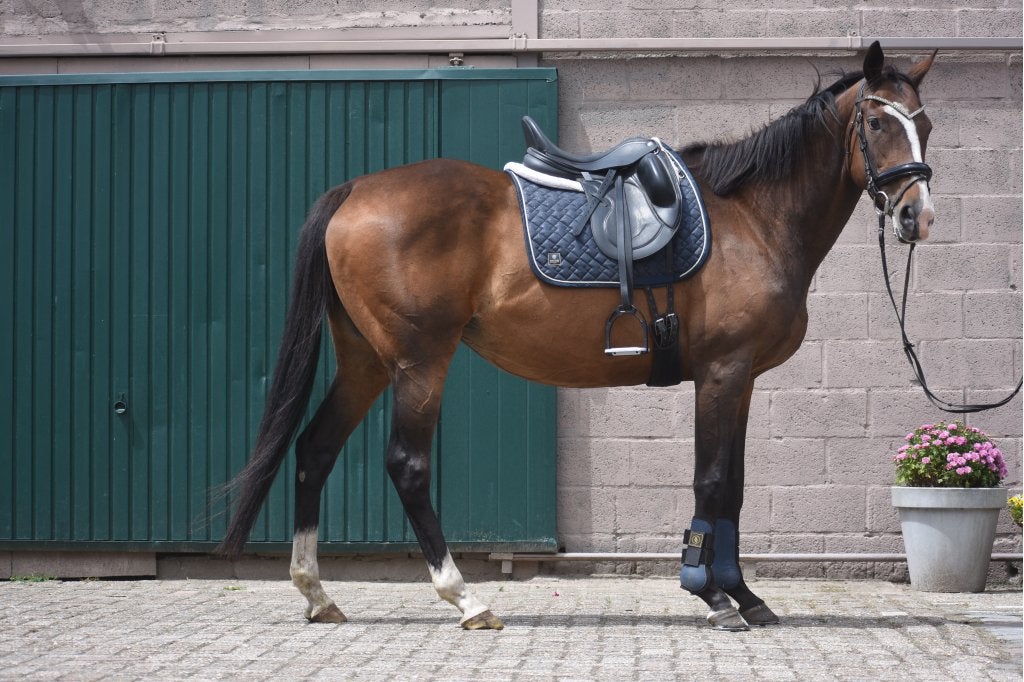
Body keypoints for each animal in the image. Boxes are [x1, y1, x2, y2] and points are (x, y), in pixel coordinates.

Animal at [217, 42, 936, 631]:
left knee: (314, 450)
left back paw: (317, 593)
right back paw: (465, 598)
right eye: (877, 123)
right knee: (406, 465)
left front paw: (744, 595)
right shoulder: (723, 372)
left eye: (924, 124)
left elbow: (731, 482)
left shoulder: (740, 379)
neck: (751, 219)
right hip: (419, 363)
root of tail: (353, 191)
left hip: (366, 361)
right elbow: (711, 482)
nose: (917, 217)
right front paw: (715, 595)